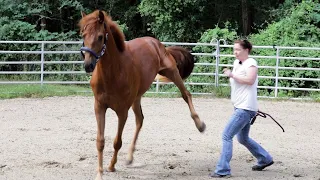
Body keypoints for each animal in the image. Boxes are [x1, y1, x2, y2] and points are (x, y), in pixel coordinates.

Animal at [79, 10, 206, 180]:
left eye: (100, 36)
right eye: (83, 35)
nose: (88, 65)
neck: (112, 73)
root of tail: (156, 43)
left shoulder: (122, 112)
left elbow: (117, 141)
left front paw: (111, 166)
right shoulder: (99, 107)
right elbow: (100, 141)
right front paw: (99, 173)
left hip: (172, 72)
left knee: (186, 95)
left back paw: (200, 124)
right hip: (137, 97)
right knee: (140, 120)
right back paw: (129, 157)